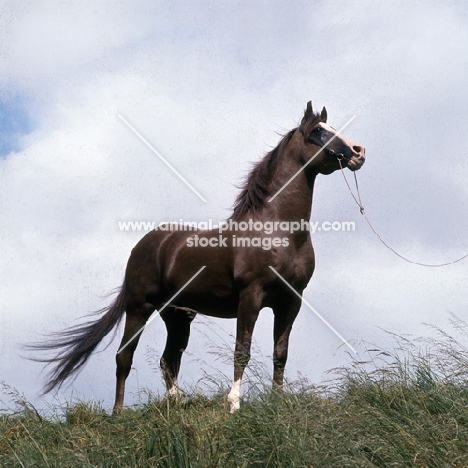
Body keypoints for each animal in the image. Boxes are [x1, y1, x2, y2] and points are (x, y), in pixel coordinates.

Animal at [30, 100, 366, 412]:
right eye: (319, 132)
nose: (358, 151)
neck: (277, 231)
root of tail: (145, 245)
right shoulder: (251, 297)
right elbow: (241, 351)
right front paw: (234, 404)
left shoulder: (291, 301)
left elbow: (280, 353)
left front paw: (277, 402)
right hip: (139, 307)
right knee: (125, 356)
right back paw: (118, 413)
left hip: (177, 315)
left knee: (168, 360)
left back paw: (176, 405)